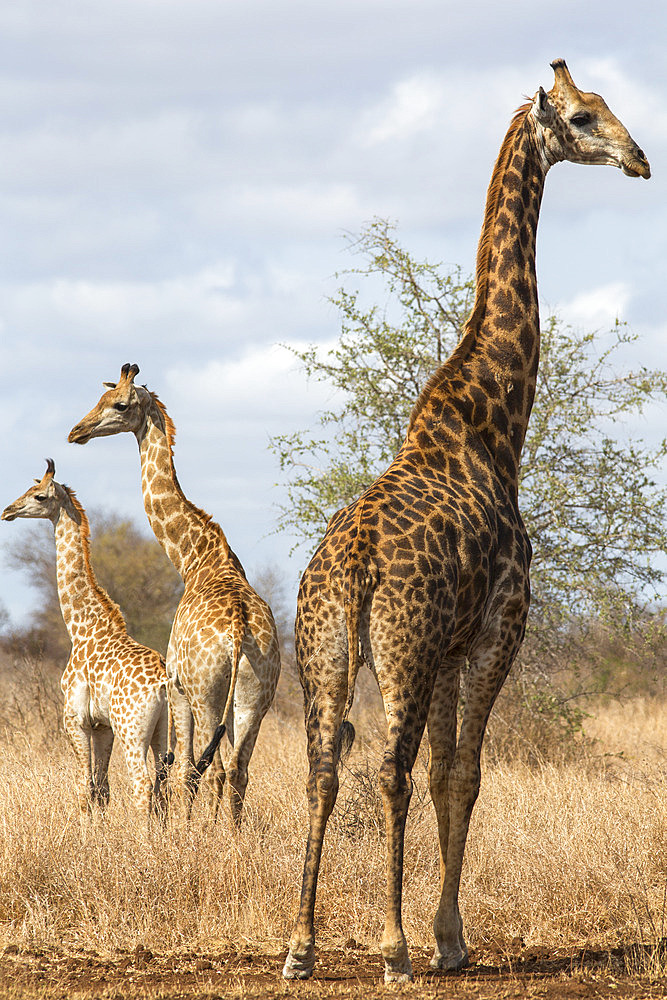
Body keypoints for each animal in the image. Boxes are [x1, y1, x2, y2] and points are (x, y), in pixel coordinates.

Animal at [2, 460, 175, 820]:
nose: (7, 511)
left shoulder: (75, 720)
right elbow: (102, 789)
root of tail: (163, 685)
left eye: (39, 496)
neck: (82, 627)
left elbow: (84, 789)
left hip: (132, 730)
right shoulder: (101, 726)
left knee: (143, 787)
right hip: (165, 732)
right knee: (163, 790)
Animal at [70, 372, 282, 824]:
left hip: (205, 694)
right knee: (239, 769)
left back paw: (210, 832)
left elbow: (183, 767)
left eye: (119, 404)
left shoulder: (178, 688)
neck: (194, 557)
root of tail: (238, 629)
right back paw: (233, 836)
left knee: (211, 768)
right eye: (100, 397)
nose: (77, 431)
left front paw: (183, 829)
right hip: (256, 695)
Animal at [284, 58, 652, 980]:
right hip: (401, 648)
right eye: (583, 117)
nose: (639, 159)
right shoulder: (495, 629)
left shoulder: (451, 649)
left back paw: (300, 946)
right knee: (390, 770)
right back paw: (391, 949)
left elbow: (450, 770)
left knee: (321, 771)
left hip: (322, 651)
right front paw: (447, 940)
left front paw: (445, 933)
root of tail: (352, 569)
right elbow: (465, 775)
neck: (491, 423)